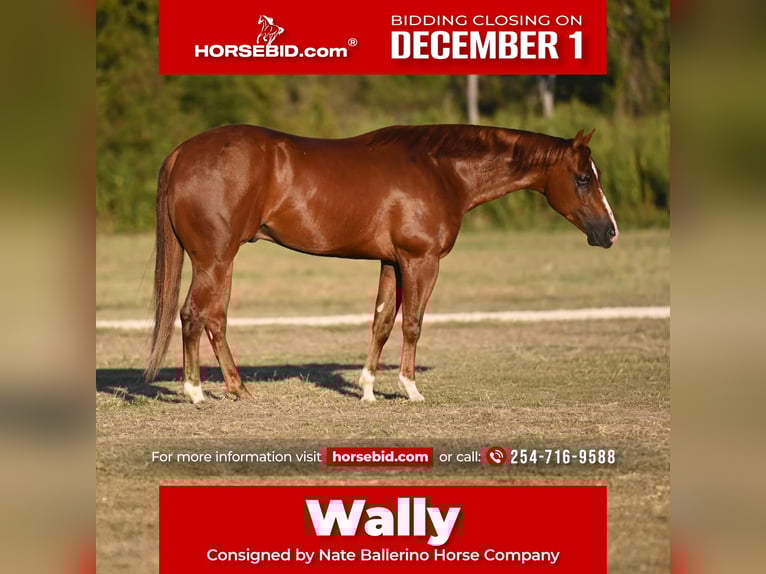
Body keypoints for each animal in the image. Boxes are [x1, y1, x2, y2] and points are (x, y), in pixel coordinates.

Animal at [144, 124, 618, 405]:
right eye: (583, 178)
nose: (609, 232)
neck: (440, 171)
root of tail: (181, 153)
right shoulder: (420, 261)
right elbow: (412, 324)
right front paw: (410, 388)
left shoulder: (391, 262)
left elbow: (382, 322)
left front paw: (369, 388)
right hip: (215, 259)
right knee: (195, 314)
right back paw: (197, 391)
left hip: (218, 262)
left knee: (213, 318)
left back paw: (235, 387)